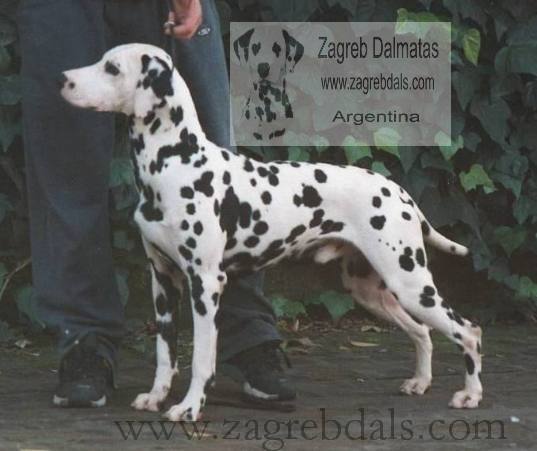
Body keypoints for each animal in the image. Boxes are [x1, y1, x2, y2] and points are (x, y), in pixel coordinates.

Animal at [60, 43, 483, 421]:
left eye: (112, 68)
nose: (64, 79)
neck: (176, 162)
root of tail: (399, 191)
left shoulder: (205, 284)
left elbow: (201, 358)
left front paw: (189, 407)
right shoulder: (163, 281)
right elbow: (166, 355)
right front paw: (155, 396)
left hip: (409, 282)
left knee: (468, 330)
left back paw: (470, 395)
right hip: (373, 290)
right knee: (423, 332)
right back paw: (420, 383)